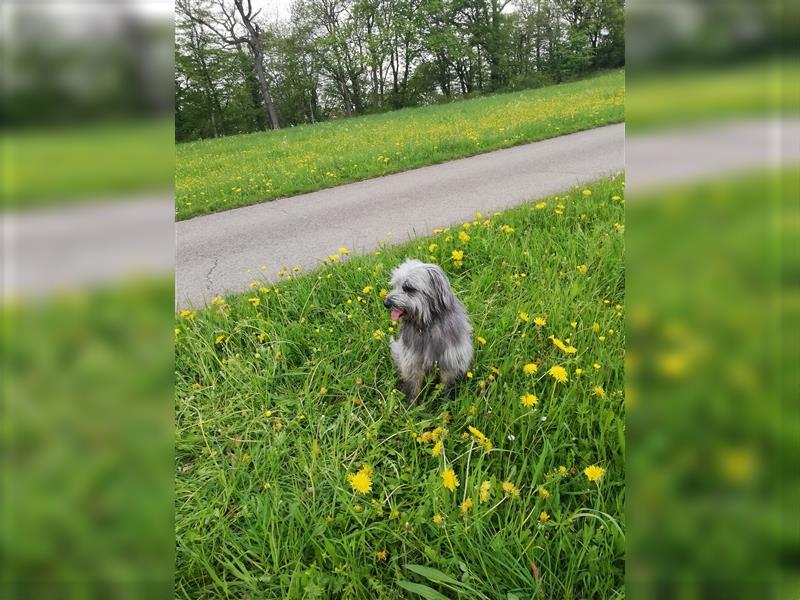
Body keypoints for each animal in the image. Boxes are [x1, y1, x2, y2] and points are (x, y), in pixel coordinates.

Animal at [382, 258, 472, 404]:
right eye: (395, 285)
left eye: (408, 288)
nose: (386, 303)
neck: (427, 324)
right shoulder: (412, 362)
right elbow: (414, 386)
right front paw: (412, 404)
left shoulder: (449, 361)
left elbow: (445, 385)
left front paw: (444, 402)